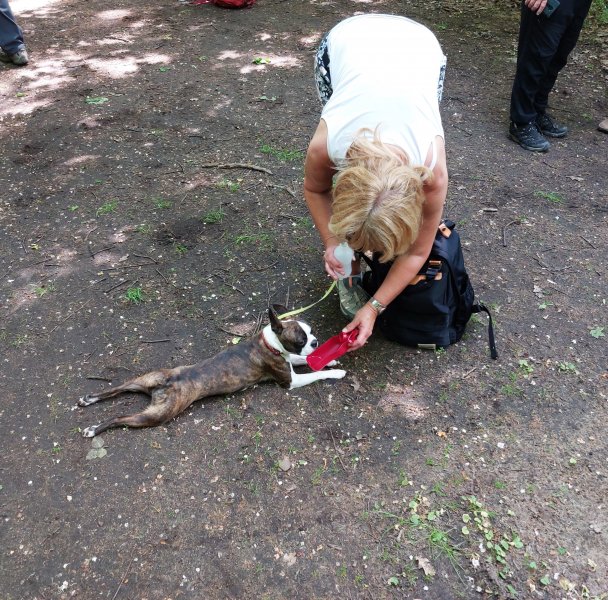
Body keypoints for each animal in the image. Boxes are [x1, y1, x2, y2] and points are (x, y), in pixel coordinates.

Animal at [78, 308, 344, 438]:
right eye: (301, 340)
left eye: (311, 332)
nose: (316, 341)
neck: (270, 343)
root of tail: (169, 382)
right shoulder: (290, 381)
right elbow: (312, 372)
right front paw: (337, 372)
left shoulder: (290, 361)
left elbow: (304, 360)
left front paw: (330, 361)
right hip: (156, 416)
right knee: (119, 418)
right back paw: (93, 429)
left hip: (144, 379)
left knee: (117, 388)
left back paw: (88, 399)